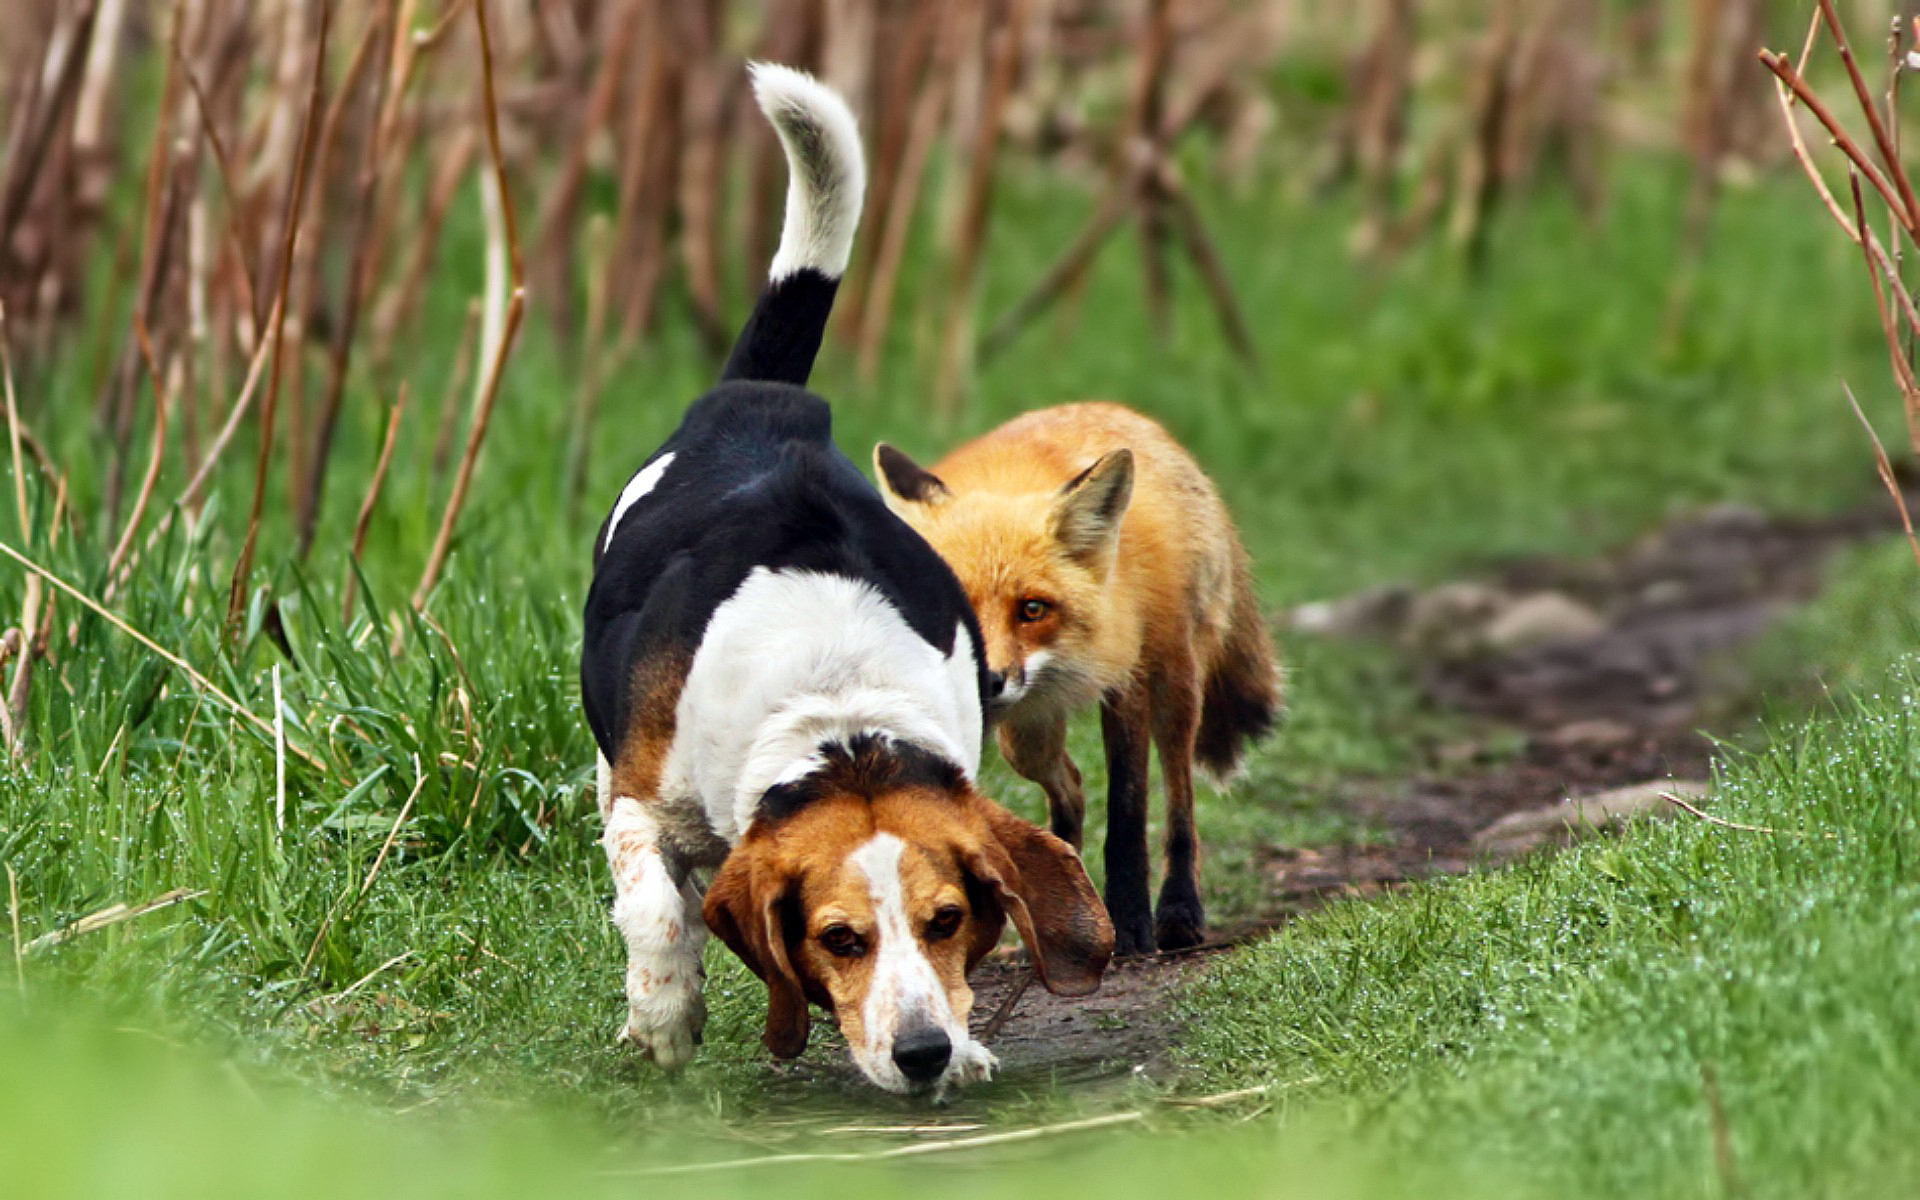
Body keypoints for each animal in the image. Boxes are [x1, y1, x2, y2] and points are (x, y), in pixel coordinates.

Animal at [579, 65, 1113, 1098]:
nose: (923, 1053)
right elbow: (654, 906)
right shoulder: (641, 800)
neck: (839, 719)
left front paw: (969, 1043)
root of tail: (766, 403)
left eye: (949, 920)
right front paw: (665, 1013)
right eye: (839, 939)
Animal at [879, 405, 1282, 956]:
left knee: (1179, 799)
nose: (988, 681)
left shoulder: (1127, 681)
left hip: (1176, 685)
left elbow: (1128, 814)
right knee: (1069, 788)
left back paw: (1179, 912)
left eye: (1032, 609)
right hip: (1024, 739)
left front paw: (1131, 924)